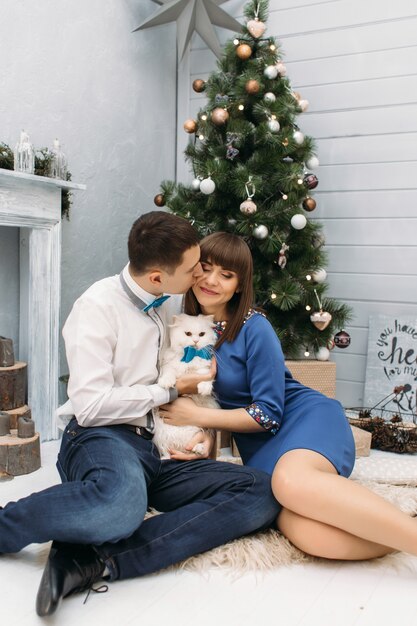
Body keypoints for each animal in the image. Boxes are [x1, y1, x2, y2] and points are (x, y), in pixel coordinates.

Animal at [153, 314, 218, 456]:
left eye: (201, 334)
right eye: (188, 334)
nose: (195, 341)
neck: (190, 356)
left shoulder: (204, 368)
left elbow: (205, 376)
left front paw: (204, 388)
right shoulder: (169, 365)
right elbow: (169, 373)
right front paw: (166, 383)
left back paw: (199, 449)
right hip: (162, 432)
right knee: (170, 450)